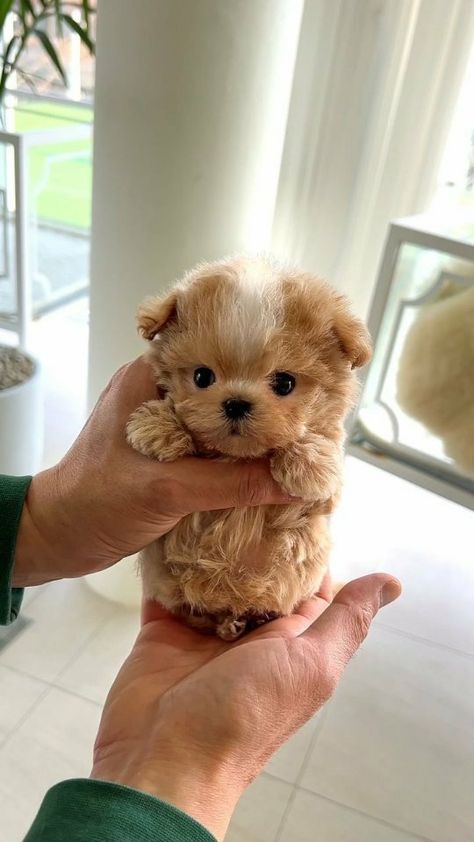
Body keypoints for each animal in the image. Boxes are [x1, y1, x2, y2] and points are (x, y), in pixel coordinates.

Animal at [127, 254, 370, 636]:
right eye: (202, 377)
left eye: (285, 383)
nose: (236, 403)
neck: (236, 456)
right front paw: (158, 426)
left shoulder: (325, 501)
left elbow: (321, 460)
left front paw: (308, 465)